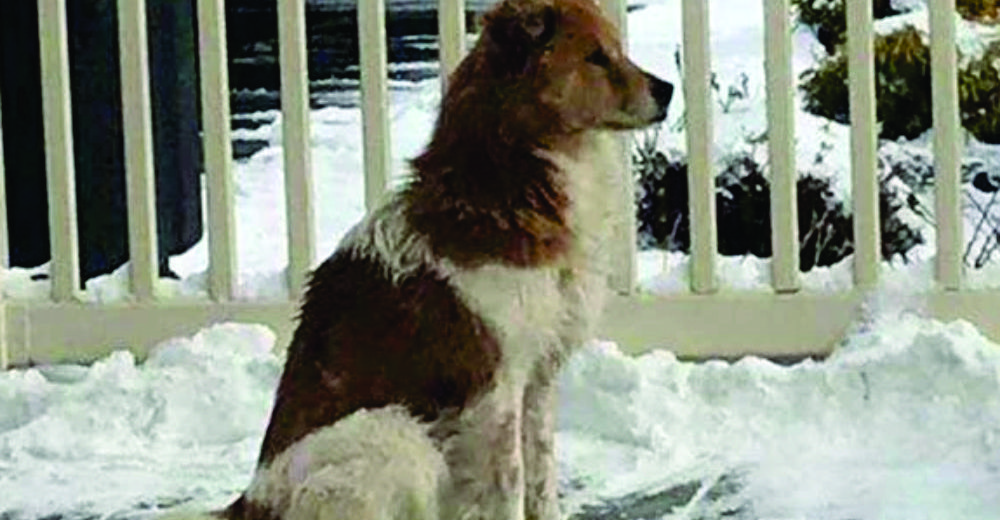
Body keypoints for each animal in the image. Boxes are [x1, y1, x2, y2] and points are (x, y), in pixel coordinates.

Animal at [218, 1, 672, 520]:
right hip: (396, 433)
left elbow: (542, 477)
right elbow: (511, 484)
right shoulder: (497, 386)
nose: (668, 89)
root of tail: (252, 503)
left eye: (616, 49)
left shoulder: (538, 377)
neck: (510, 185)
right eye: (596, 57)